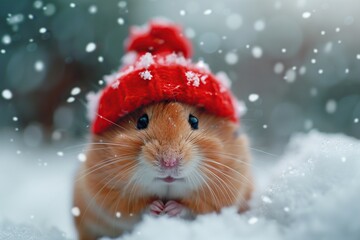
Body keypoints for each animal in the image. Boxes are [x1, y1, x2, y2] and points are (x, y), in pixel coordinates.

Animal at [72, 101, 253, 240]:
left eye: (194, 121)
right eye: (142, 121)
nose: (169, 162)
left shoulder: (221, 196)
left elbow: (191, 209)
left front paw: (170, 208)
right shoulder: (108, 196)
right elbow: (135, 209)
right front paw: (158, 207)